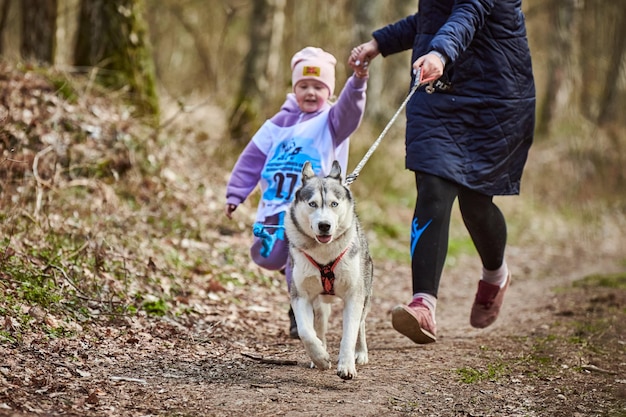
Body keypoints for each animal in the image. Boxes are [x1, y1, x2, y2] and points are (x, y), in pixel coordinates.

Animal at [286, 160, 372, 380]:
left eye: (334, 204)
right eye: (312, 204)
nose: (324, 225)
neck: (324, 253)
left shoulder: (354, 296)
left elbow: (349, 334)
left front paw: (347, 365)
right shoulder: (300, 295)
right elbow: (305, 332)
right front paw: (320, 358)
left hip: (365, 294)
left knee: (361, 324)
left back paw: (361, 353)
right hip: (319, 304)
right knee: (320, 325)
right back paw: (320, 351)